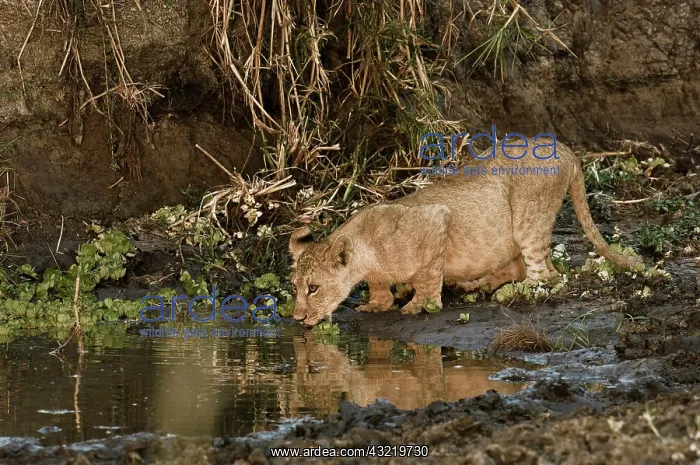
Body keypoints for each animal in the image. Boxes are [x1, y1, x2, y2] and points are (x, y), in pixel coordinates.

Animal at [289, 137, 643, 326]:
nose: (297, 319)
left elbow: (429, 276)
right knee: (524, 266)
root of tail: (566, 149)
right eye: (295, 287)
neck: (366, 248)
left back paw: (514, 289)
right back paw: (481, 283)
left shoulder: (435, 222)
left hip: (529, 220)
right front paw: (377, 304)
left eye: (313, 288)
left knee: (547, 275)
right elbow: (381, 288)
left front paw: (418, 305)